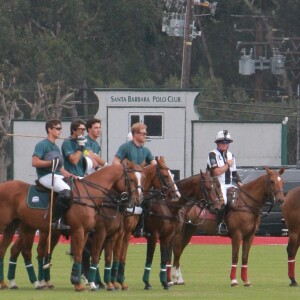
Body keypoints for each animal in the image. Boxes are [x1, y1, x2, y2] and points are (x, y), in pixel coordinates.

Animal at [0, 162, 142, 290]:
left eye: (141, 178)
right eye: (132, 179)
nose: (137, 201)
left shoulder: (94, 233)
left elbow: (97, 256)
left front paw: (84, 282)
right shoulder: (87, 231)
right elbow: (85, 255)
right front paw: (81, 283)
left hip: (22, 226)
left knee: (14, 250)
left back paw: (17, 283)